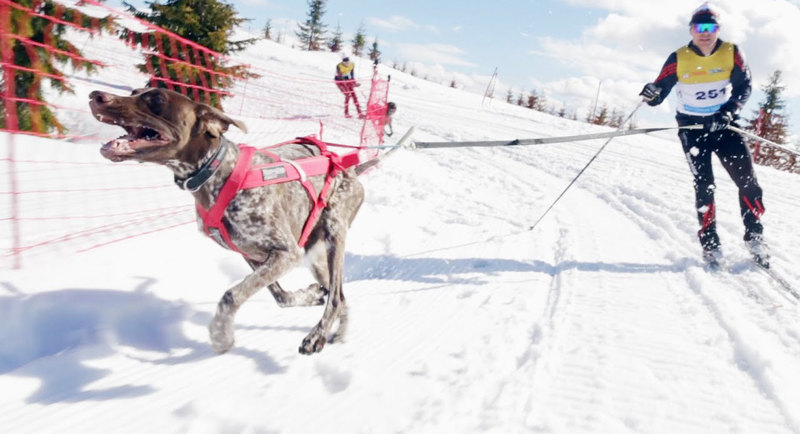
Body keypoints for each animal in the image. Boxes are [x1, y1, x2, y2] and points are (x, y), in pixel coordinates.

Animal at [89, 88, 364, 356]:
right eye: (134, 91)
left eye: (156, 98)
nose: (95, 96)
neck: (217, 172)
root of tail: (348, 167)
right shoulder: (253, 255)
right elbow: (280, 296)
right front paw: (307, 296)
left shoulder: (286, 253)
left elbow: (231, 295)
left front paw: (221, 336)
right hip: (316, 257)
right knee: (341, 296)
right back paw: (339, 334)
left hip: (334, 235)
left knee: (336, 298)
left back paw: (317, 336)